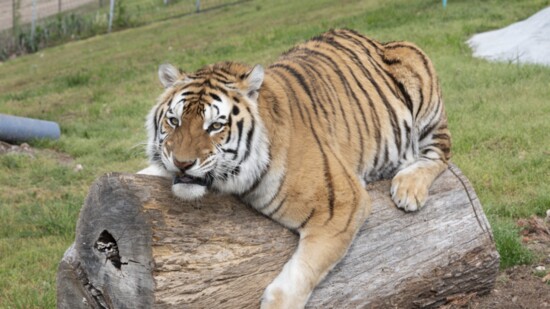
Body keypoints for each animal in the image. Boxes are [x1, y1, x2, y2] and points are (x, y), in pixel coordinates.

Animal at [139, 28, 452, 306]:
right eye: (174, 121)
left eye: (215, 126)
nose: (182, 162)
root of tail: (373, 40)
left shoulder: (342, 203)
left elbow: (296, 279)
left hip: (419, 77)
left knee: (441, 152)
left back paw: (408, 188)